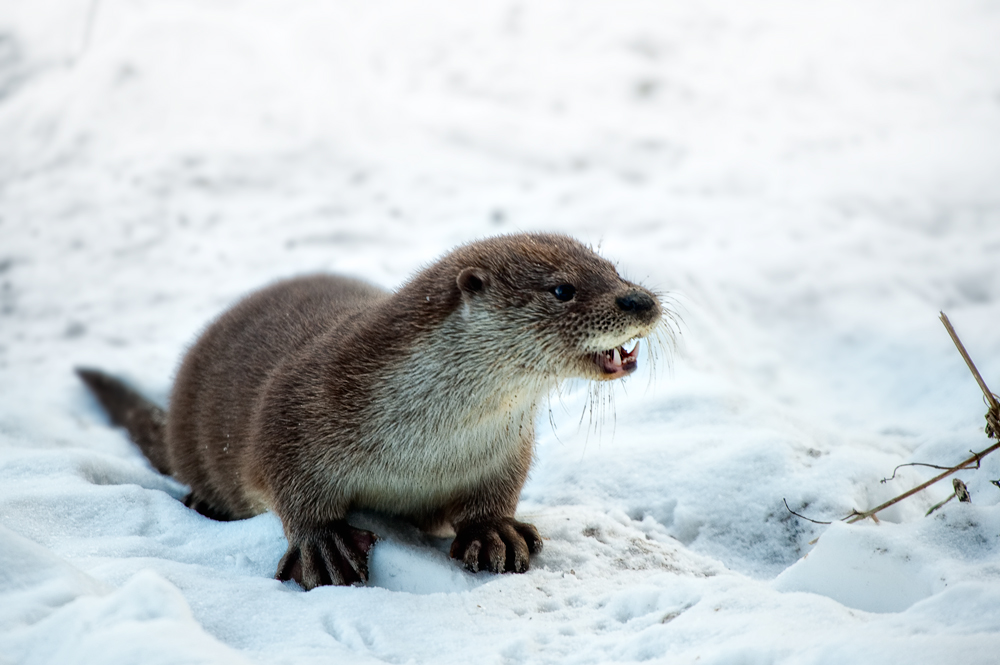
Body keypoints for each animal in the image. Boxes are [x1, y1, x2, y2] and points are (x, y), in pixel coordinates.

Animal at [74, 233, 660, 588]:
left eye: (614, 271)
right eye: (563, 289)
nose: (642, 300)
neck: (427, 442)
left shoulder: (505, 449)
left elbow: (495, 494)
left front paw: (494, 531)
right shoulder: (295, 410)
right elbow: (284, 480)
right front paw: (324, 545)